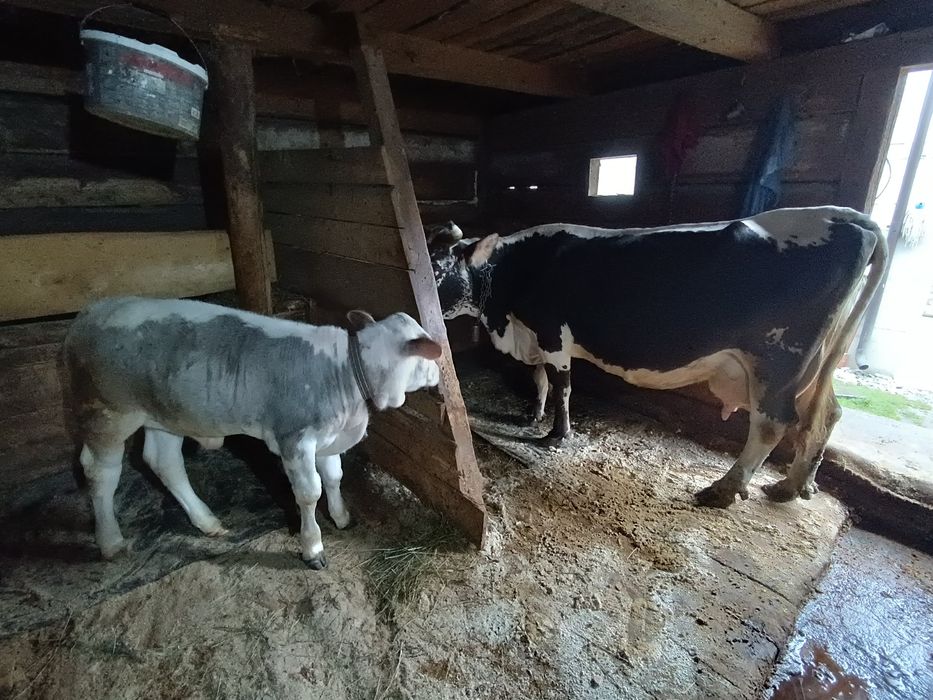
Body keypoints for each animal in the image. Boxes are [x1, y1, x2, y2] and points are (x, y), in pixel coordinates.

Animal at [63, 297, 442, 568]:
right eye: (430, 357)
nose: (440, 375)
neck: (346, 367)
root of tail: (94, 310)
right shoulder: (295, 439)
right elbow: (309, 493)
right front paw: (313, 546)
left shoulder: (329, 436)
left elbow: (334, 476)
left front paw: (341, 516)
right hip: (107, 413)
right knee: (100, 472)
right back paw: (110, 540)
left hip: (165, 416)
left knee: (164, 463)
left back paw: (206, 521)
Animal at [429, 207, 887, 508]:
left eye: (437, 270)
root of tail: (844, 215)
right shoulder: (534, 335)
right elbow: (538, 377)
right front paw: (531, 415)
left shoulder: (553, 332)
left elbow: (561, 386)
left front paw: (557, 434)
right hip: (817, 362)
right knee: (825, 414)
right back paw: (792, 486)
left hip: (778, 360)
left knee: (772, 424)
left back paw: (724, 489)